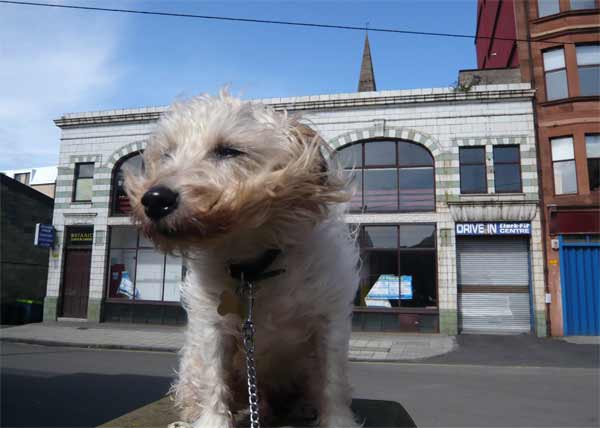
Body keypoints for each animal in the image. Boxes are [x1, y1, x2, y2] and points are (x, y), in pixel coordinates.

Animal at [127, 93, 360, 428]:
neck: (254, 268)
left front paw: (337, 420)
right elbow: (214, 381)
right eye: (167, 154)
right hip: (193, 366)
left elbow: (332, 380)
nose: (154, 199)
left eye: (228, 150)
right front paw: (212, 422)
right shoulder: (212, 326)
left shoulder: (330, 318)